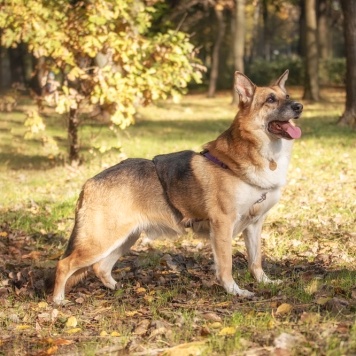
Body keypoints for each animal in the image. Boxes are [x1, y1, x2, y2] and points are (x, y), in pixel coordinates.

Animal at [52, 71, 304, 304]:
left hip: (125, 238)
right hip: (101, 240)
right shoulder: (223, 225)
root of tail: (89, 183)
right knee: (64, 264)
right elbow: (226, 265)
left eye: (287, 96)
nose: (299, 106)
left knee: (100, 267)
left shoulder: (254, 225)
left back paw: (115, 288)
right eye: (270, 99)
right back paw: (58, 300)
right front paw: (234, 291)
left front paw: (265, 282)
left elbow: (256, 260)